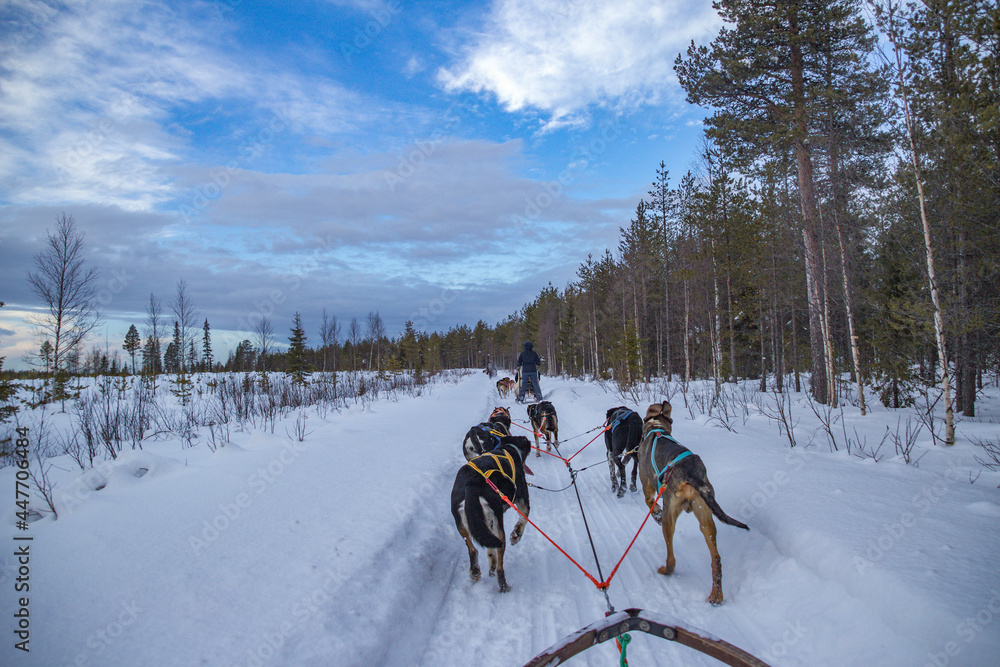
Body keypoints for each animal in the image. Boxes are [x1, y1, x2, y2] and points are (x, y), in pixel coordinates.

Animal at [452, 438, 536, 596]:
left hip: (464, 525)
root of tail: (471, 483)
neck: (508, 448)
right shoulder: (522, 500)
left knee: (474, 550)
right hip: (499, 528)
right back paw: (503, 587)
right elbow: (523, 519)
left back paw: (476, 572)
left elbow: (489, 550)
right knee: (500, 565)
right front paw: (516, 534)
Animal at [636, 402, 748, 604]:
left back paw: (665, 569)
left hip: (670, 515)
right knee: (716, 558)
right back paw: (716, 596)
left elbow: (650, 503)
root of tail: (691, 474)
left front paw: (655, 513)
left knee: (671, 559)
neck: (657, 428)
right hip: (705, 516)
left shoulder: (647, 487)